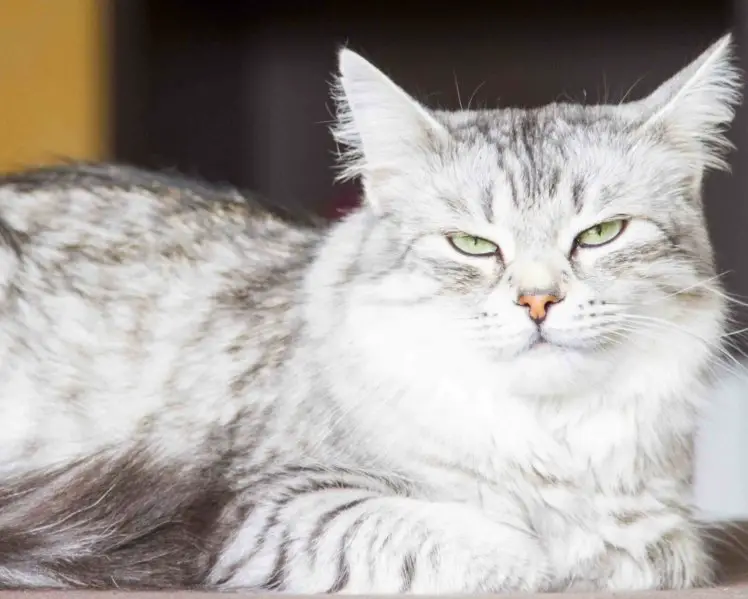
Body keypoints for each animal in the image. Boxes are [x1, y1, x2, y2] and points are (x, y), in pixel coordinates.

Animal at [0, 35, 744, 592]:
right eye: (473, 244)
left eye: (601, 234)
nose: (538, 300)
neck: (546, 440)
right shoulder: (273, 509)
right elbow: (514, 549)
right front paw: (549, 553)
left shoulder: (668, 533)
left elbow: (645, 552)